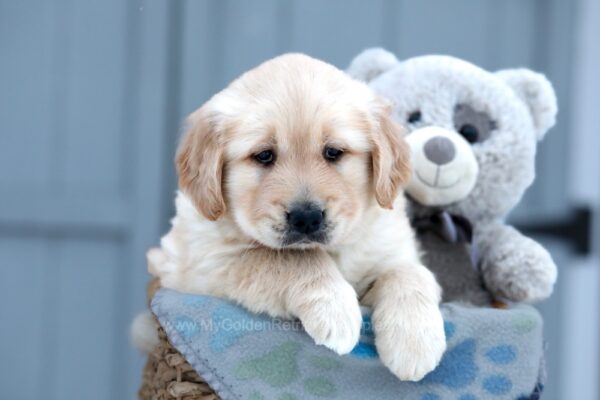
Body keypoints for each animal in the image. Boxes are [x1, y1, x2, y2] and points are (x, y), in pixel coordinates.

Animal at [149, 53, 446, 382]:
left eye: (334, 152)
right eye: (264, 155)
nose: (306, 218)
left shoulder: (391, 250)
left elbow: (410, 273)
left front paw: (415, 343)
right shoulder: (207, 264)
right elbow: (287, 258)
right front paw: (334, 307)